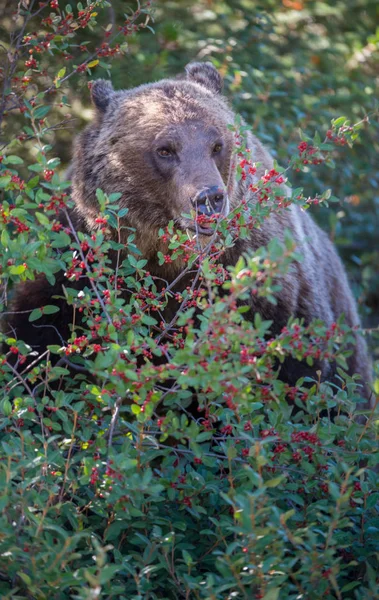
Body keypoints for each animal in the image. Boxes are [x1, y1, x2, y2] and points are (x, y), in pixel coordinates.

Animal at [4, 62, 374, 404]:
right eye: (165, 149)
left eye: (217, 144)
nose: (209, 198)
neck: (163, 254)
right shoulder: (75, 259)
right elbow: (37, 340)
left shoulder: (267, 292)